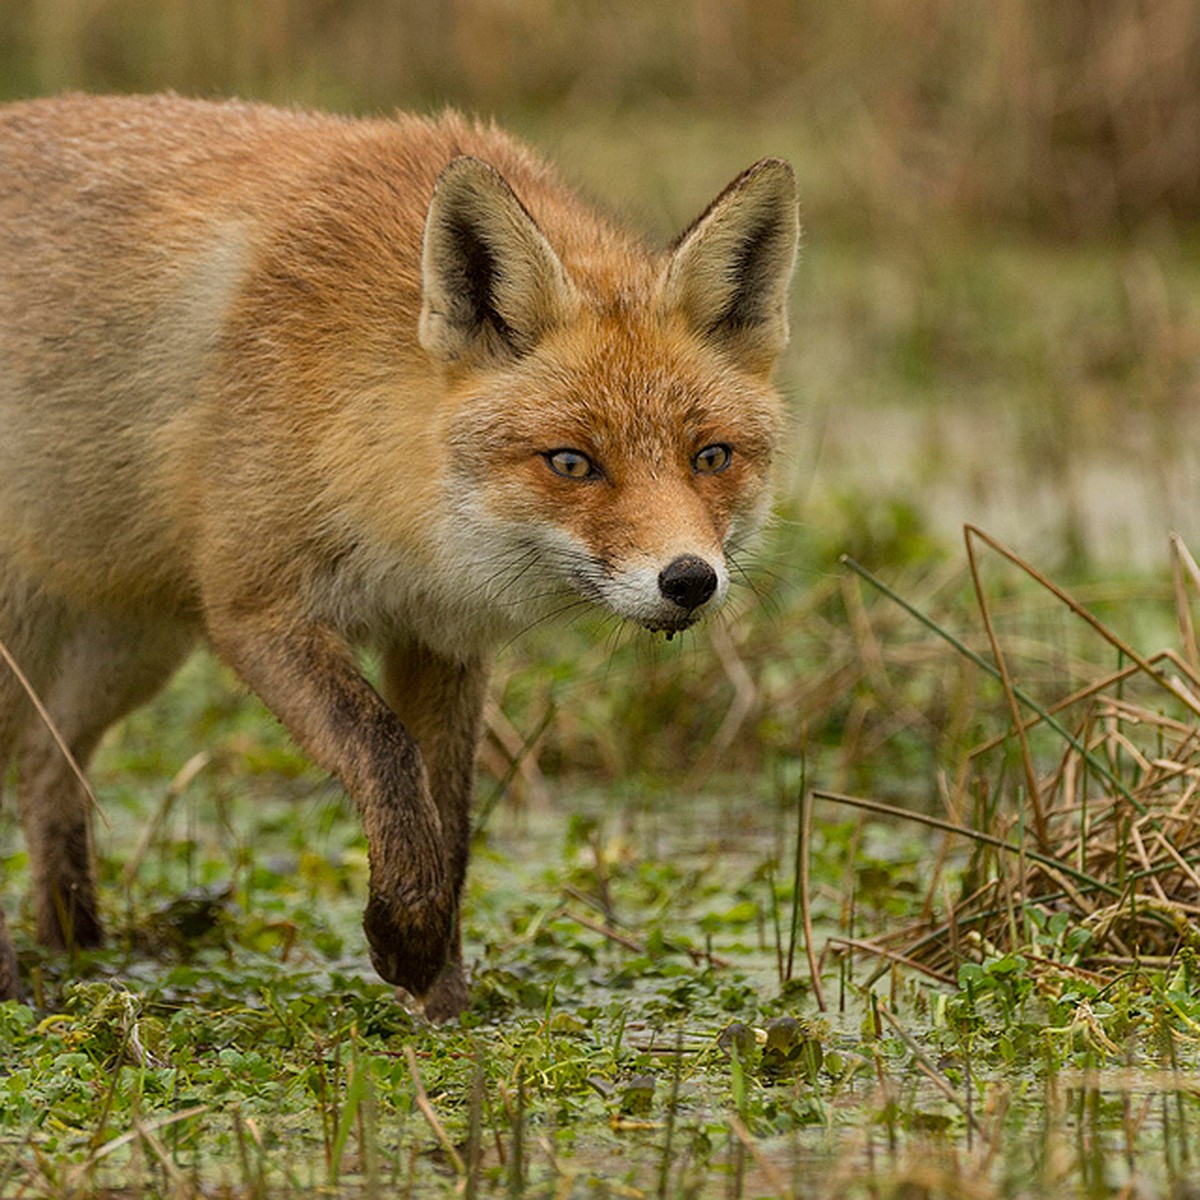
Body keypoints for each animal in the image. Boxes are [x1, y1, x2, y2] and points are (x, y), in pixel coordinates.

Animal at [0, 93, 796, 1017]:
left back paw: (79, 955)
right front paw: (404, 938)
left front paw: (443, 1000)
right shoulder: (254, 607)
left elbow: (447, 822)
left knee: (43, 770)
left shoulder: (440, 641)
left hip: (129, 649)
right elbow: (384, 753)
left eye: (711, 457)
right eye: (571, 463)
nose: (689, 581)